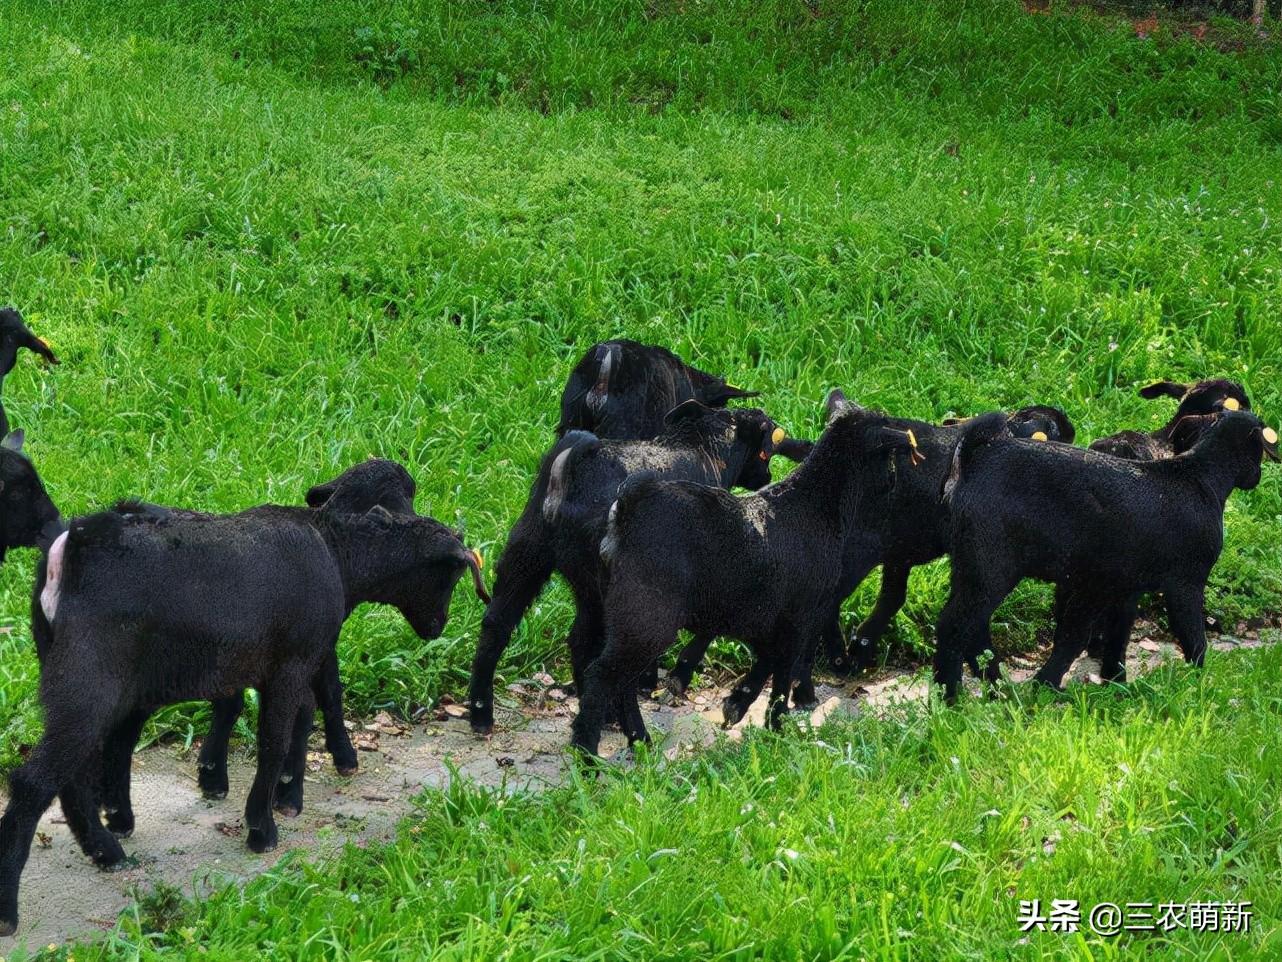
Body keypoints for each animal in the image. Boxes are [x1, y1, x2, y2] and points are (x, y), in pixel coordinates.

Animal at [471, 402, 789, 733]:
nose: (767, 476)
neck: (704, 451)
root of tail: (576, 463)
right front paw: (673, 678)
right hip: (605, 582)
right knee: (596, 648)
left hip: (527, 555)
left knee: (499, 624)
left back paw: (482, 714)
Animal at [938, 410, 1276, 702]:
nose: (1257, 477)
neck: (1200, 476)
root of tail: (976, 458)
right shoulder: (1185, 584)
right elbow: (1192, 635)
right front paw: (1199, 682)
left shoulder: (1120, 588)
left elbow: (1111, 635)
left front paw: (1115, 684)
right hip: (991, 567)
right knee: (955, 626)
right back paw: (951, 696)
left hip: (972, 567)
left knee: (972, 630)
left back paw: (995, 689)